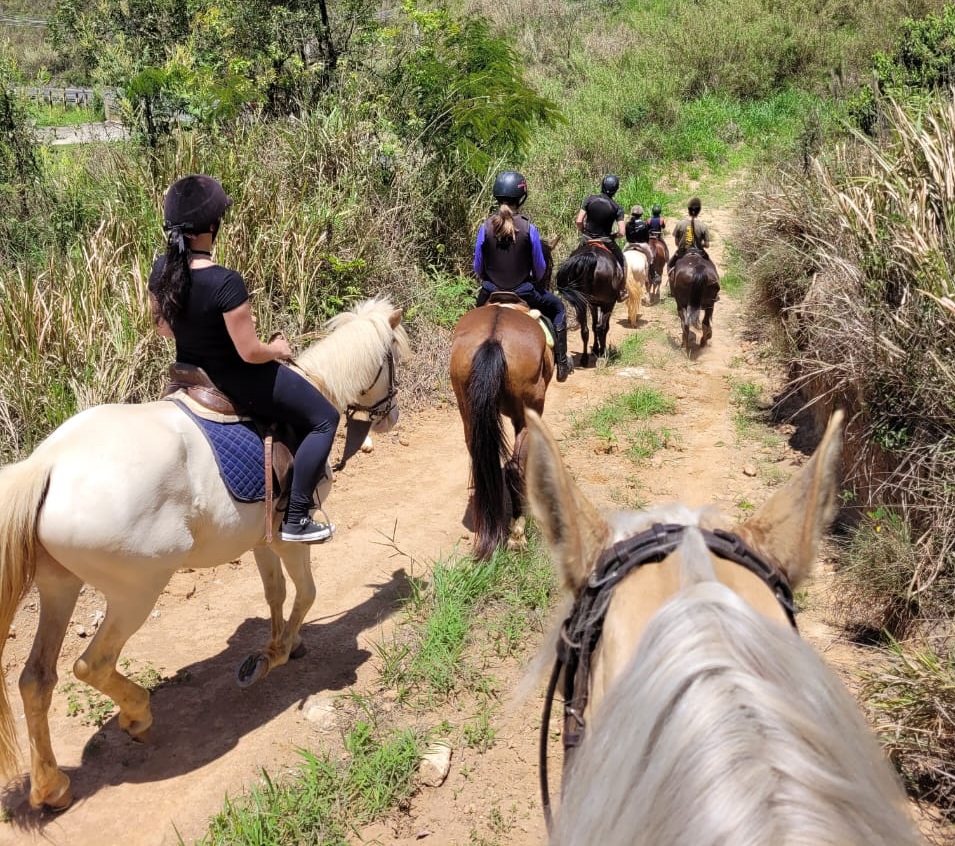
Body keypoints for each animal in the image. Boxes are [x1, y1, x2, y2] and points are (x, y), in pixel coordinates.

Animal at [0, 297, 410, 812]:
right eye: (393, 358)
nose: (392, 417)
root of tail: (48, 463)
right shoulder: (289, 536)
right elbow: (307, 593)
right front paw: (274, 656)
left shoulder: (261, 540)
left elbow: (276, 594)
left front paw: (283, 642)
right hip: (136, 592)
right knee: (91, 665)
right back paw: (137, 714)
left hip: (59, 585)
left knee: (36, 680)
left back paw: (51, 786)